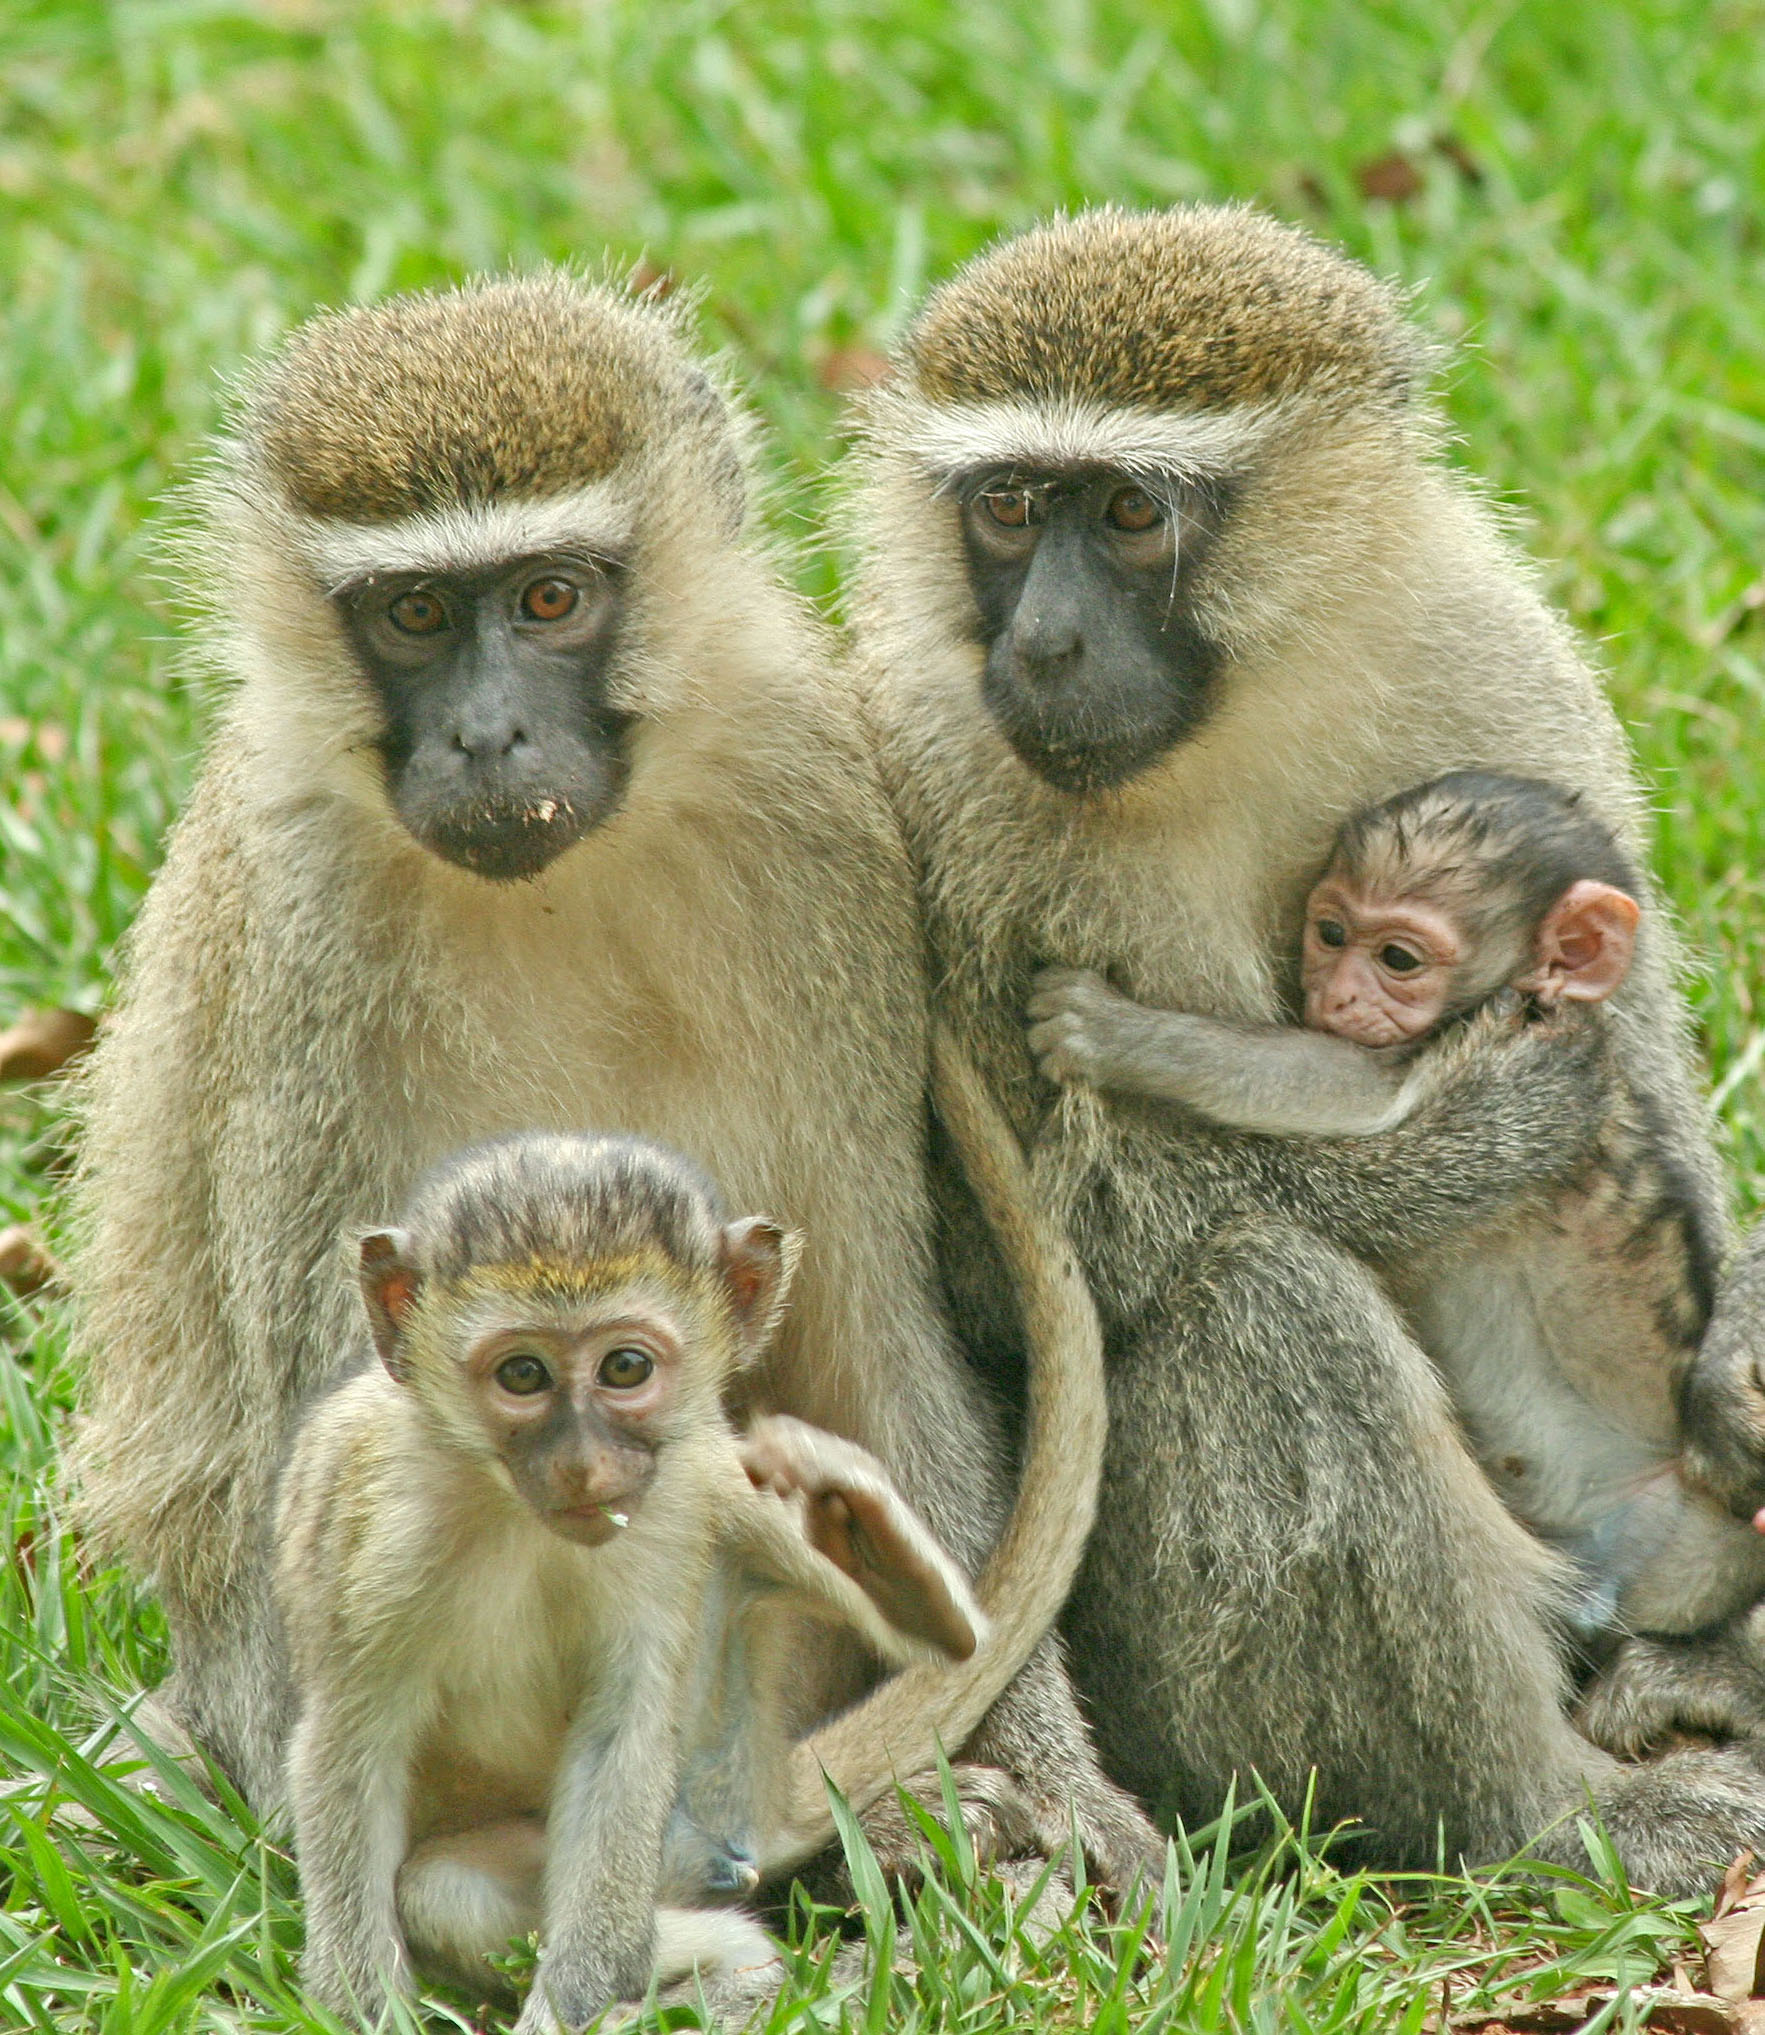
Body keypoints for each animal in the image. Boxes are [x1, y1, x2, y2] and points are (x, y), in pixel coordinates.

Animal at [69, 274, 1156, 1888]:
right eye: (412, 612)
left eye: (549, 599)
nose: (486, 736)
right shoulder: (302, 929)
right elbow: (338, 1408)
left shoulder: (818, 828)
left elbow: (872, 1330)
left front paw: (1047, 1778)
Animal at [282, 1139, 985, 2026]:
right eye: (522, 1374)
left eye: (624, 1366)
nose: (583, 1464)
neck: (519, 1516)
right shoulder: (369, 1533)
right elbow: (351, 1741)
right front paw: (363, 2009)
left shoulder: (672, 1502)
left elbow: (621, 1735)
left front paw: (568, 2006)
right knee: (446, 1890)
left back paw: (888, 1563)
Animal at [1034, 769, 1765, 1644]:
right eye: (1329, 931)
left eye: (1396, 957)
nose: (1336, 991)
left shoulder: (1509, 1027)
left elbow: (1346, 1085)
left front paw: (1114, 1031)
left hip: (1693, 1539)